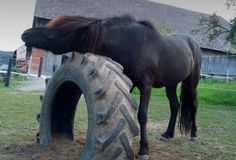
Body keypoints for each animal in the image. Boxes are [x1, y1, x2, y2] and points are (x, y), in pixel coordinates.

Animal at [22, 15, 202, 159]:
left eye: (59, 30)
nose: (25, 34)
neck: (133, 44)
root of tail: (193, 42)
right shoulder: (128, 83)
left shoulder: (146, 85)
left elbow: (142, 115)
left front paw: (144, 149)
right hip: (171, 84)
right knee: (175, 106)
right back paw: (168, 134)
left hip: (191, 83)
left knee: (193, 106)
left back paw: (194, 134)